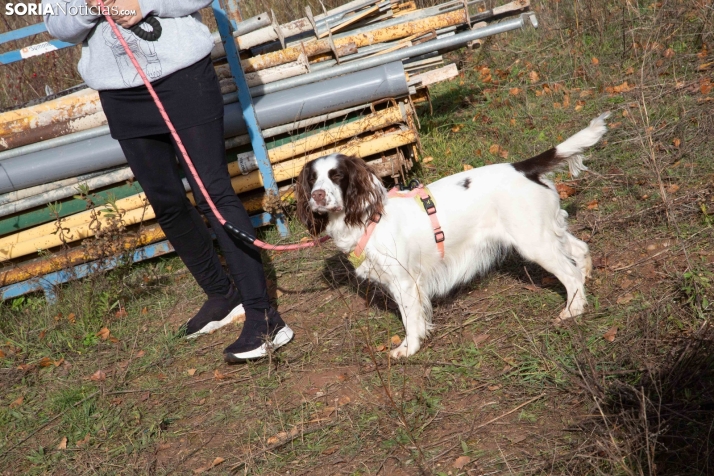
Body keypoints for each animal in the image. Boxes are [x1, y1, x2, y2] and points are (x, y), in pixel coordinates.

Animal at [294, 112, 608, 356]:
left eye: (337, 176)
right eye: (312, 179)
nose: (317, 196)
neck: (368, 218)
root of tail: (523, 167)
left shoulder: (404, 281)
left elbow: (410, 319)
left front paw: (408, 348)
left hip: (534, 242)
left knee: (570, 274)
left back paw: (573, 310)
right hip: (546, 232)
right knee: (579, 250)